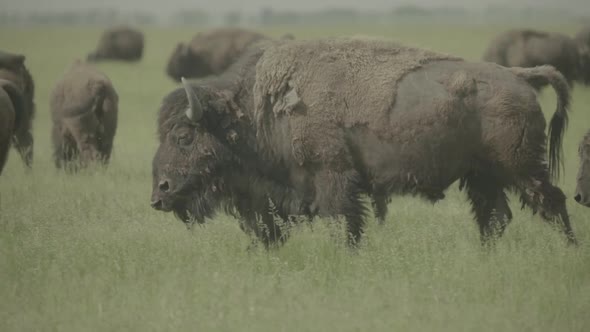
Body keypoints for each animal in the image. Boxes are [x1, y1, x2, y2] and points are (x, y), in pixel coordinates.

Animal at [151, 37, 580, 248]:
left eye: (184, 137)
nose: (160, 194)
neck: (259, 111)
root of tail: (518, 75)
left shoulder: (333, 177)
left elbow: (344, 221)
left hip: (521, 167)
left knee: (551, 202)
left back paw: (570, 249)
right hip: (482, 175)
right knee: (495, 217)